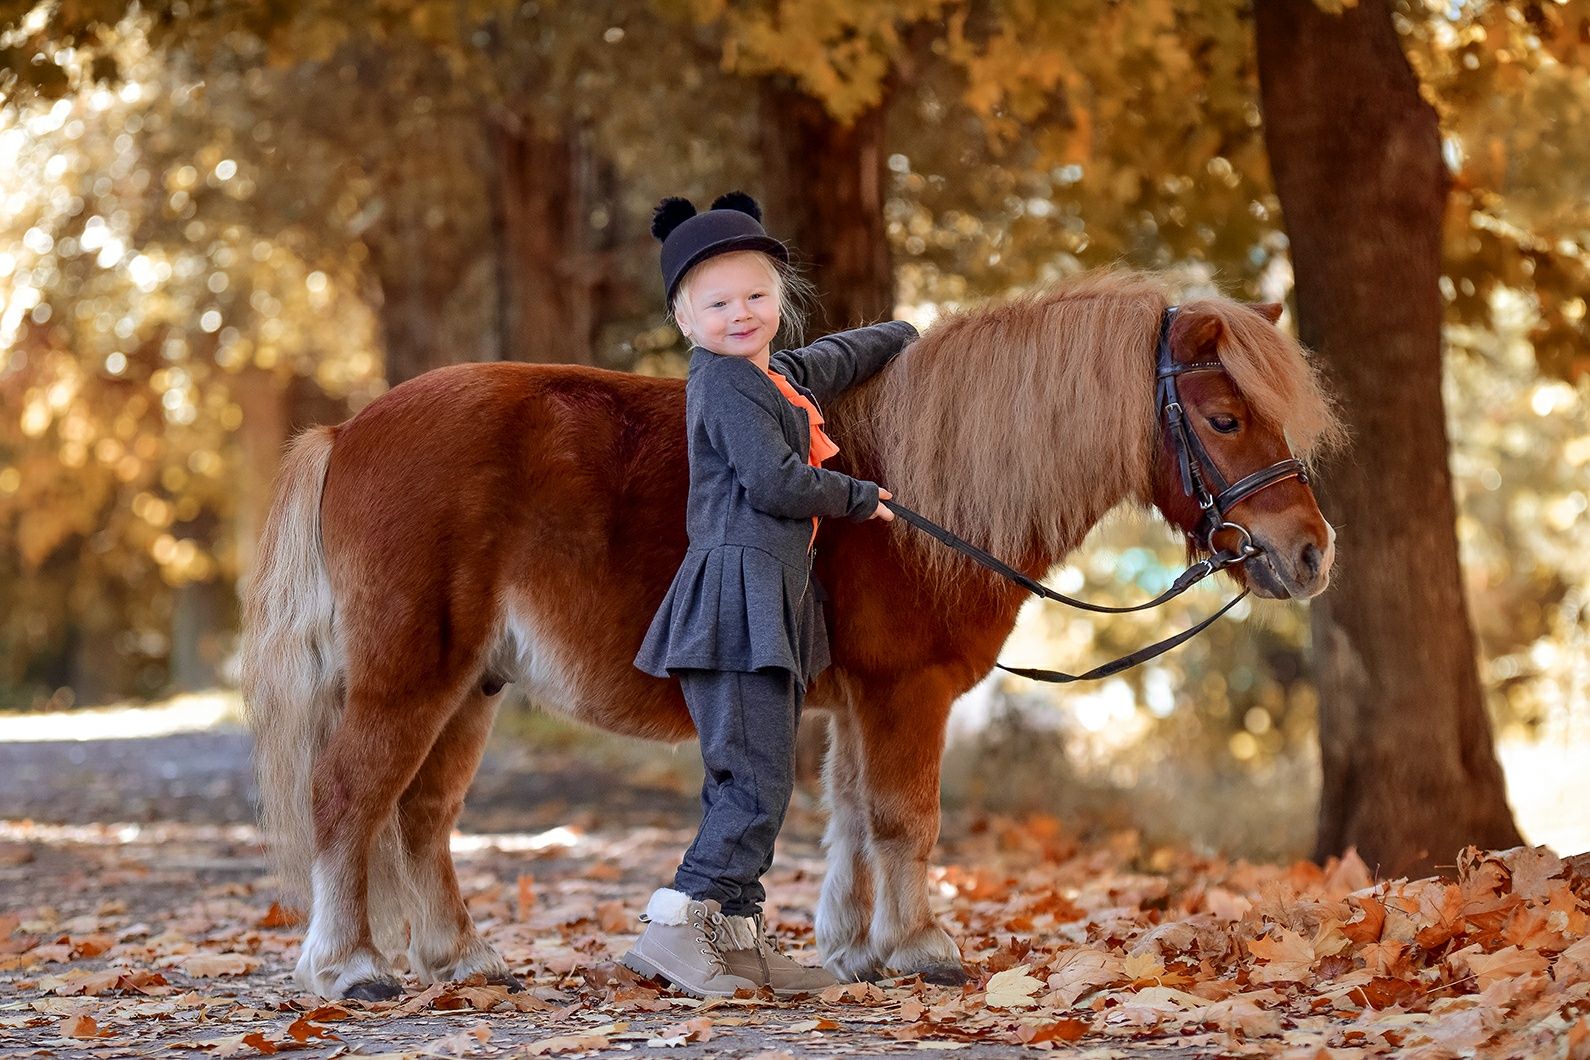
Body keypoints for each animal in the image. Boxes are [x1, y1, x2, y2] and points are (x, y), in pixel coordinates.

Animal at [241, 270, 1348, 998]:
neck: (918, 492)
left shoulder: (860, 699)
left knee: (421, 814)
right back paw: (351, 968)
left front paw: (855, 950)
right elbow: (905, 817)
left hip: (471, 686)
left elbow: (852, 815)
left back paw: (459, 958)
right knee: (350, 798)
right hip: (409, 678)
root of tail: (349, 431)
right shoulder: (906, 692)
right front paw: (923, 948)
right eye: (1222, 417)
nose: (1309, 555)